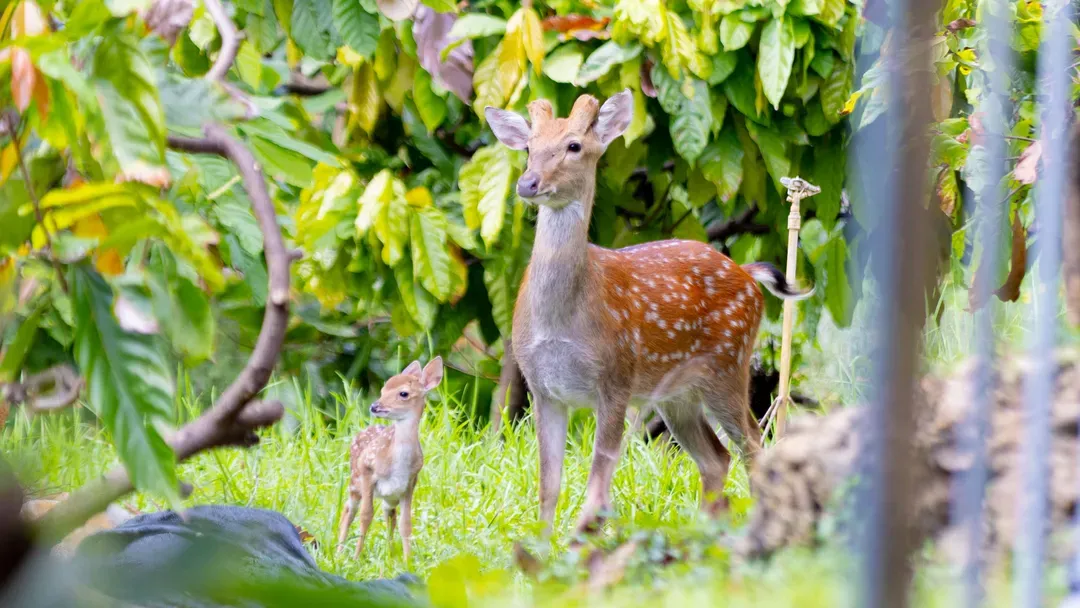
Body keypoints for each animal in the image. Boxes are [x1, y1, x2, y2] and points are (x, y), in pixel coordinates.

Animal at [336, 356, 443, 562]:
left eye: (404, 393)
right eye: (383, 389)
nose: (374, 406)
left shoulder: (410, 482)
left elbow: (405, 523)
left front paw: (408, 560)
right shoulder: (367, 470)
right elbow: (366, 516)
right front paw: (356, 557)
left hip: (389, 494)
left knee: (389, 513)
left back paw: (391, 553)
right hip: (355, 481)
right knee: (348, 509)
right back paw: (339, 551)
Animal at [485, 90, 813, 535]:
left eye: (575, 146)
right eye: (528, 148)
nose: (528, 183)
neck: (562, 319)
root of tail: (748, 272)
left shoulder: (616, 377)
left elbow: (597, 489)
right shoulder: (543, 388)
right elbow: (547, 488)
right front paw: (541, 545)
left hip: (729, 366)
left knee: (754, 445)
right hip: (678, 394)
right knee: (717, 457)